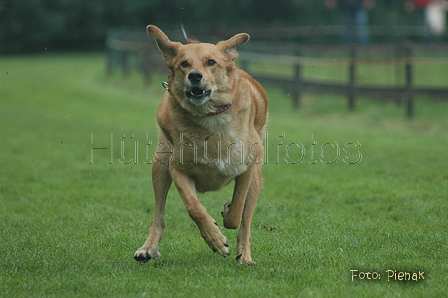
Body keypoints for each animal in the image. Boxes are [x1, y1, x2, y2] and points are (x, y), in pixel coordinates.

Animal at [132, 24, 266, 264]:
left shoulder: (248, 167)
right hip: (160, 165)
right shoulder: (177, 168)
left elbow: (237, 213)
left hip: (256, 178)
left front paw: (228, 212)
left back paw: (245, 257)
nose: (195, 76)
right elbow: (194, 207)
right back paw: (148, 249)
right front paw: (215, 239)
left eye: (211, 62)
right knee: (158, 215)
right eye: (184, 64)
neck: (210, 118)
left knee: (246, 221)